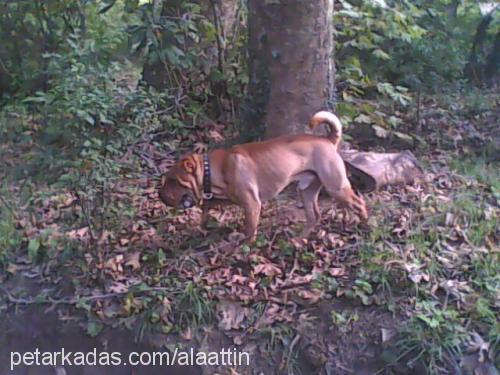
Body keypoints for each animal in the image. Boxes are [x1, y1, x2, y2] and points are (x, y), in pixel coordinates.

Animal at [159, 111, 368, 244]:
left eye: (173, 181)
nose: (159, 194)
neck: (214, 169)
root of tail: (328, 140)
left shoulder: (251, 203)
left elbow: (249, 228)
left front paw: (246, 247)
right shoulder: (229, 197)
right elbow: (209, 206)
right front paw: (202, 225)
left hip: (336, 186)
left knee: (359, 202)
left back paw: (365, 224)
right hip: (307, 190)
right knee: (314, 216)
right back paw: (298, 239)